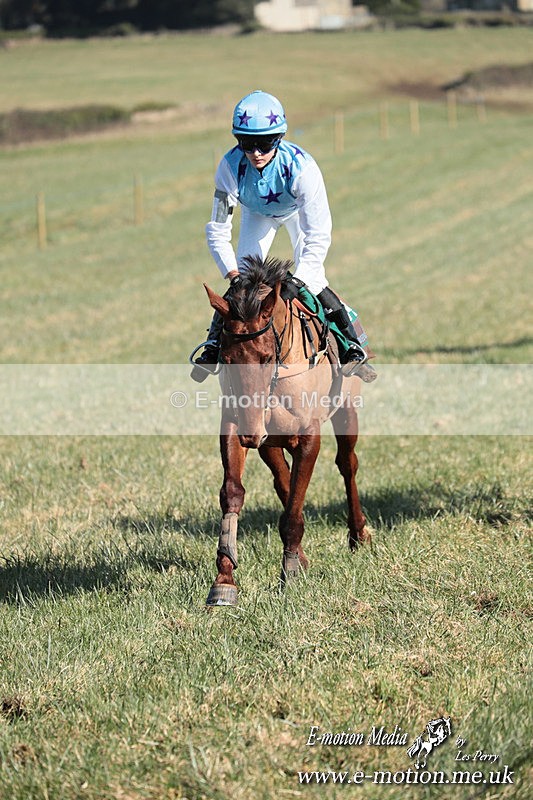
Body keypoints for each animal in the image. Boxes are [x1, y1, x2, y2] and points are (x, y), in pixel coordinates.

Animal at [201, 255, 371, 606]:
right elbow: (234, 492)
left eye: (267, 357)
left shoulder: (308, 437)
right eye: (227, 358)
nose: (251, 434)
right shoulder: (237, 427)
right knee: (284, 482)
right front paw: (224, 580)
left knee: (347, 465)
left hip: (346, 411)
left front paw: (290, 572)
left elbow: (293, 510)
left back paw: (358, 534)